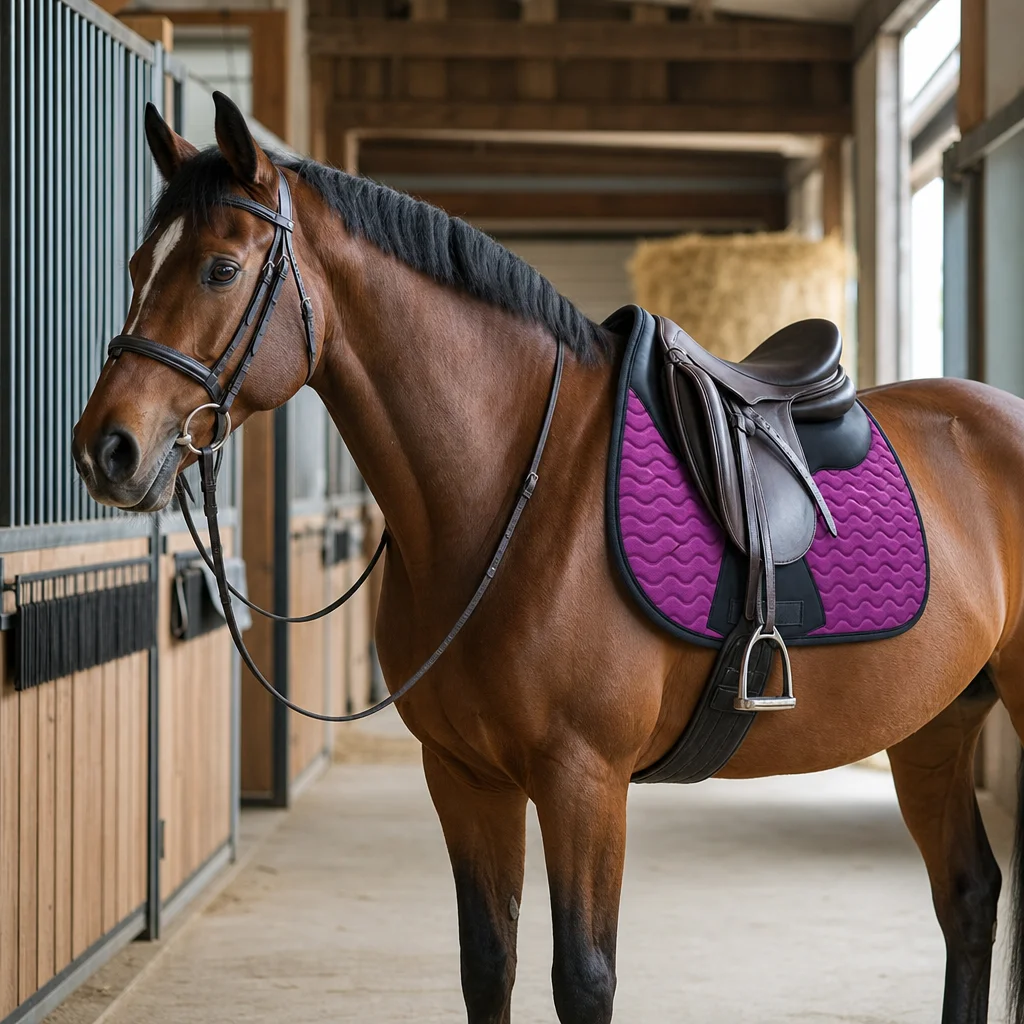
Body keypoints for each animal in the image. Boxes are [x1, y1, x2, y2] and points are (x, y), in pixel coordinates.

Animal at [73, 92, 1024, 1024]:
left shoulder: (583, 782)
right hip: (934, 723)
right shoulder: (463, 776)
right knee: (969, 896)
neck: (513, 498)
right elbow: (488, 964)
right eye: (137, 264)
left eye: (219, 270)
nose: (106, 450)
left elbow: (584, 979)